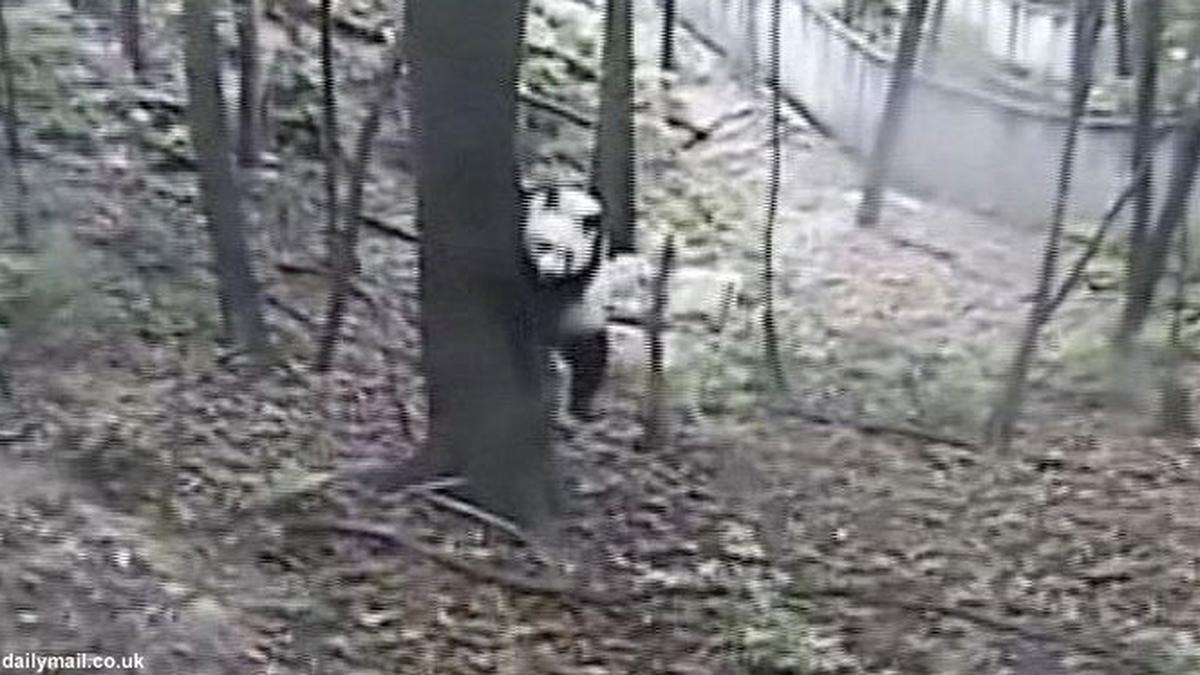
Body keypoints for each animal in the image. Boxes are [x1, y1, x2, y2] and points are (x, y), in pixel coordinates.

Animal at [520, 182, 614, 422]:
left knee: (591, 357)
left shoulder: (589, 262)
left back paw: (582, 407)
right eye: (545, 245)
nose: (550, 272)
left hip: (580, 324)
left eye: (568, 255)